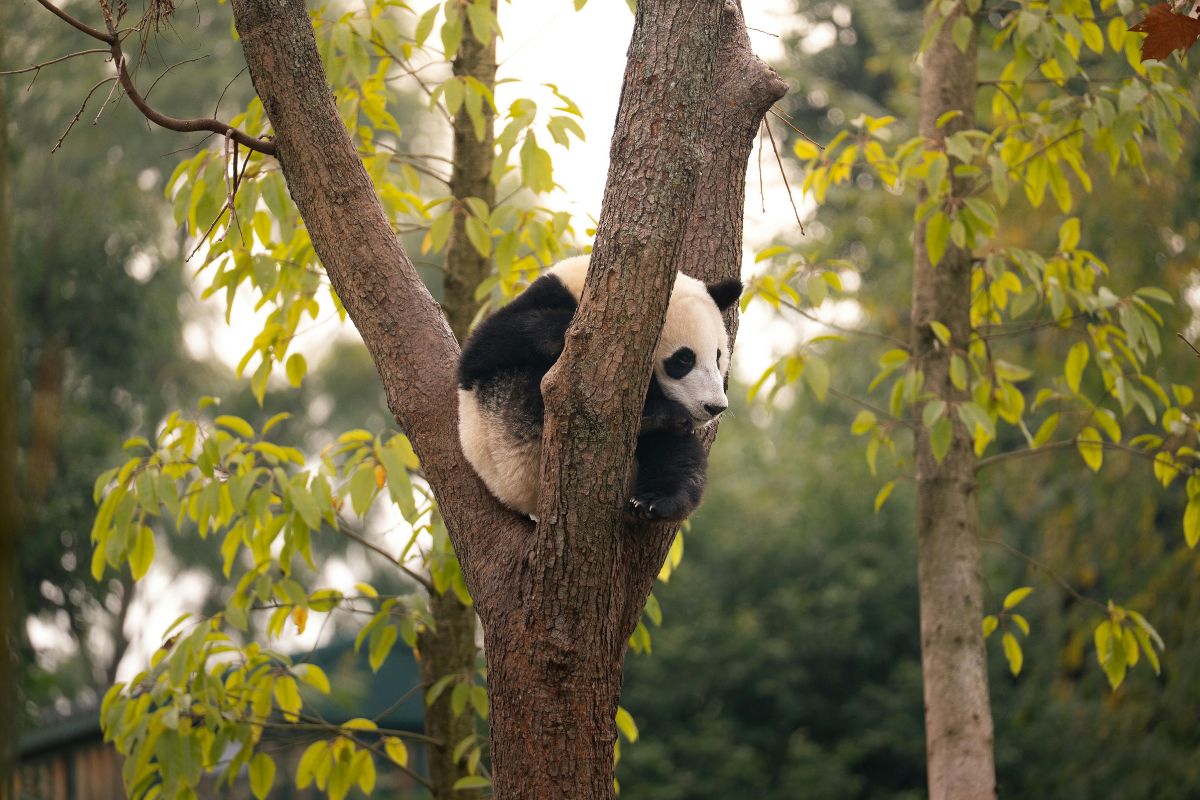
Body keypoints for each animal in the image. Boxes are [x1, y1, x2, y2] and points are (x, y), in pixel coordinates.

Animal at [457, 255, 741, 521]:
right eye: (683, 359)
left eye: (718, 356)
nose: (715, 407)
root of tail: (526, 500)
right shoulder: (541, 297)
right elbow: (485, 348)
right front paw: (566, 330)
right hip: (504, 427)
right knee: (541, 392)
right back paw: (655, 415)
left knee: (677, 455)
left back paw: (656, 500)